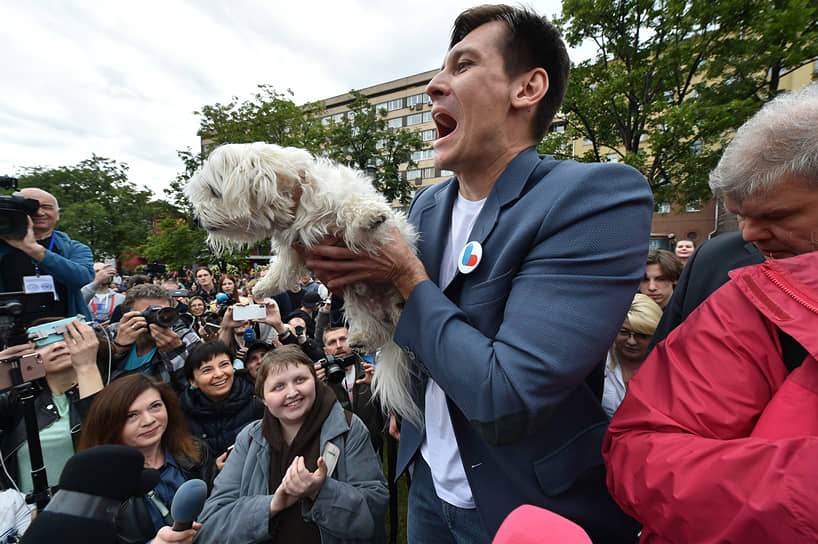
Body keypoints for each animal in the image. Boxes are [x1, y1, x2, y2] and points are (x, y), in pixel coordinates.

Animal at [186, 141, 420, 424]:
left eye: (213, 191)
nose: (196, 219)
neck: (297, 203)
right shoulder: (295, 249)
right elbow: (282, 269)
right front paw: (263, 286)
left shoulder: (343, 202)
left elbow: (351, 207)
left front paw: (369, 216)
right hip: (357, 305)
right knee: (374, 328)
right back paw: (360, 338)